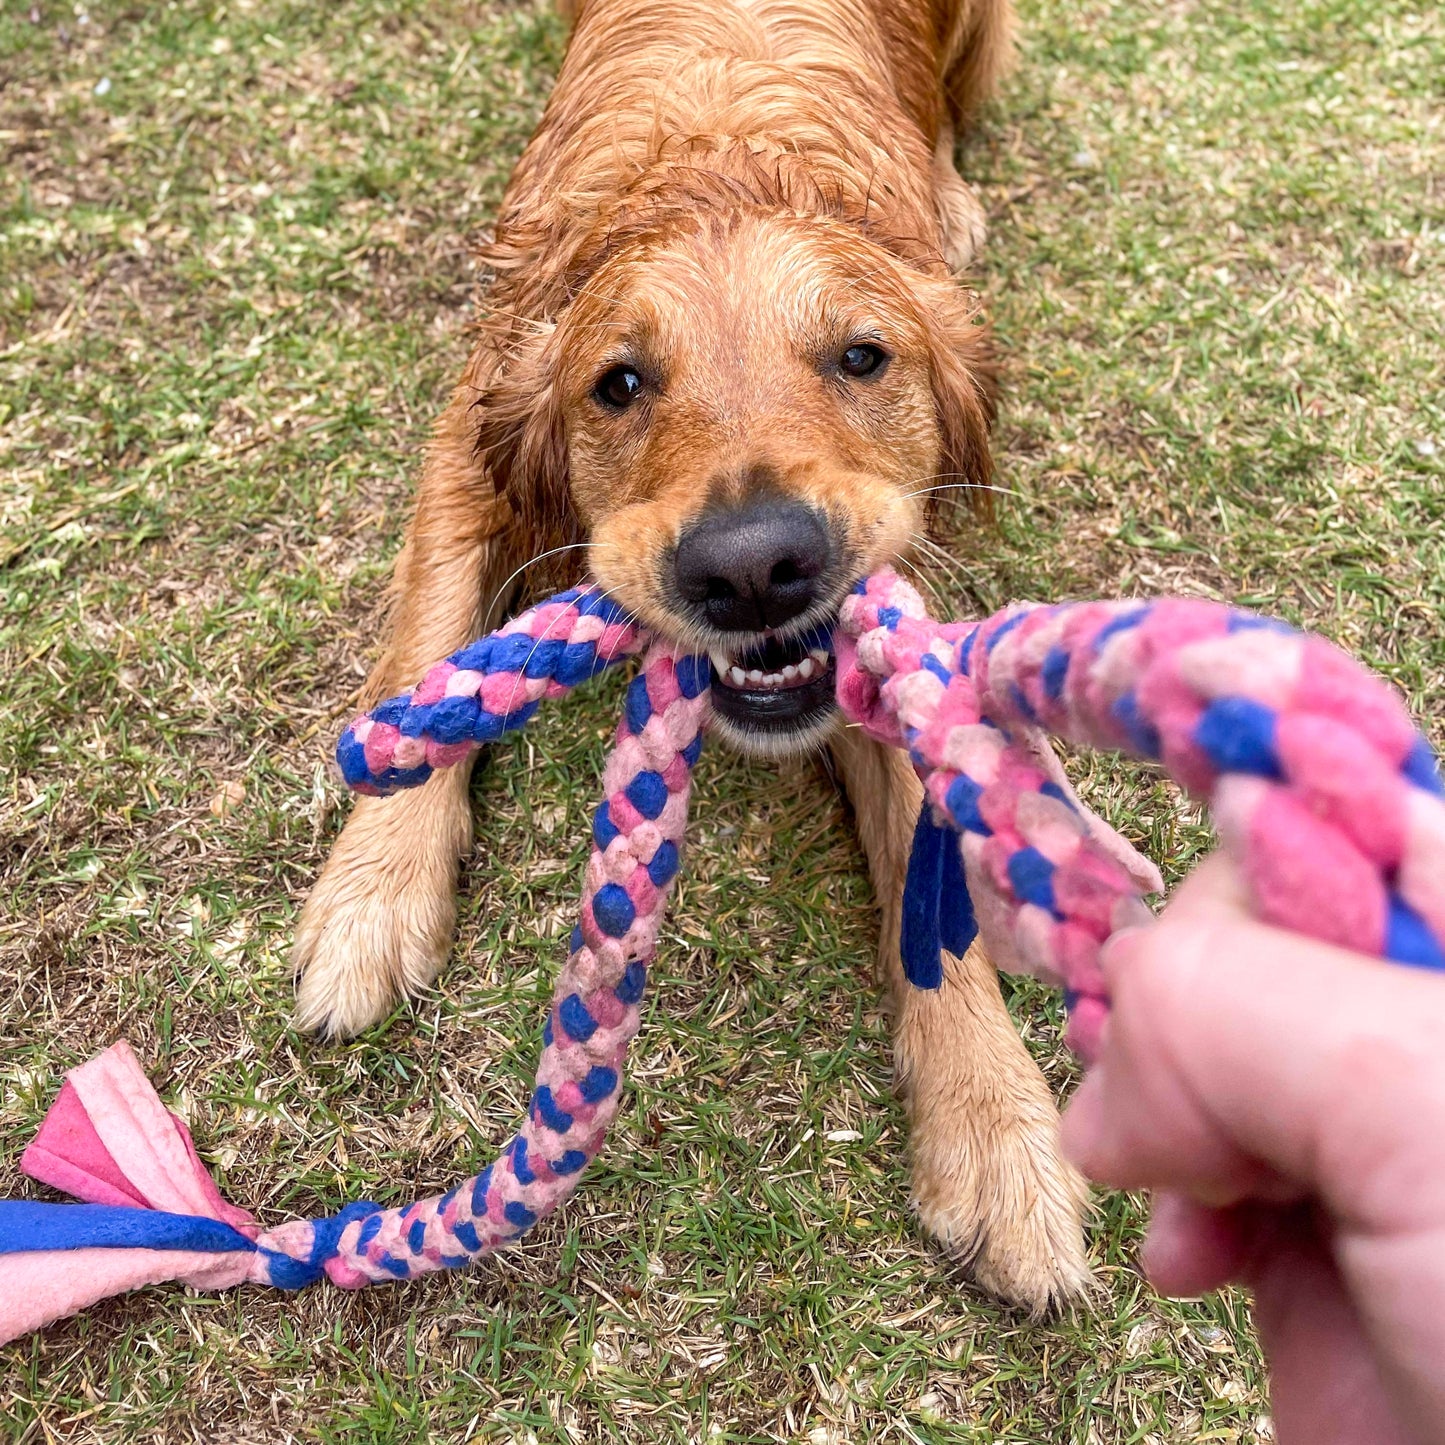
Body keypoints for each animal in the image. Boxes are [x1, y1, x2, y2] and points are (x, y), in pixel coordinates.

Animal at [287, 0, 1086, 1312]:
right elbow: (428, 637)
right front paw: (372, 890)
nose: (753, 566)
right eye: (619, 383)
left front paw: (994, 1124)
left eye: (861, 357)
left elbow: (928, 854)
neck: (720, 164)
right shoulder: (471, 429)